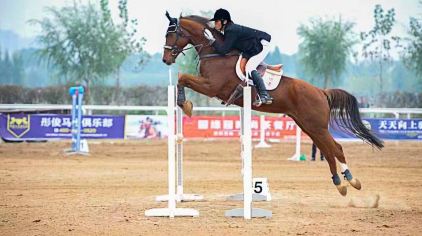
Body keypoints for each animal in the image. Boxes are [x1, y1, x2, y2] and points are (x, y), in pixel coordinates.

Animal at [161, 13, 382, 197]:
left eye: (172, 35)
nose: (165, 59)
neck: (215, 53)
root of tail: (321, 91)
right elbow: (182, 79)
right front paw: (184, 103)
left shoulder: (211, 87)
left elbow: (183, 78)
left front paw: (185, 105)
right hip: (308, 126)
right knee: (327, 151)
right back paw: (339, 183)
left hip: (317, 126)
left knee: (336, 148)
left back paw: (352, 181)